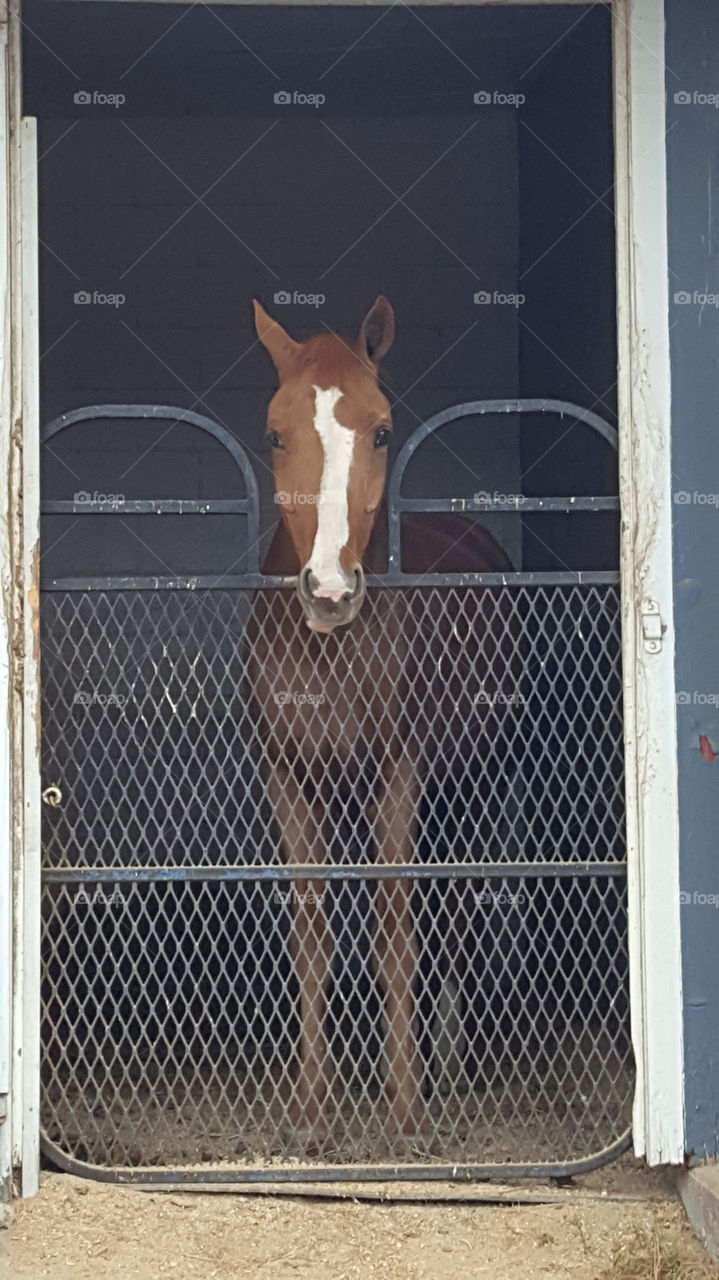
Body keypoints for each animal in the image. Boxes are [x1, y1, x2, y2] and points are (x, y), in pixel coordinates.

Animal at [248, 296, 514, 1156]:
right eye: (275, 433)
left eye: (382, 430)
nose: (330, 591)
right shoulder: (288, 780)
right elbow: (310, 937)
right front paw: (309, 1112)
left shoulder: (399, 776)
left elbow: (396, 933)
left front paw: (406, 1117)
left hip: (473, 787)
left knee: (453, 908)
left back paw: (451, 1065)